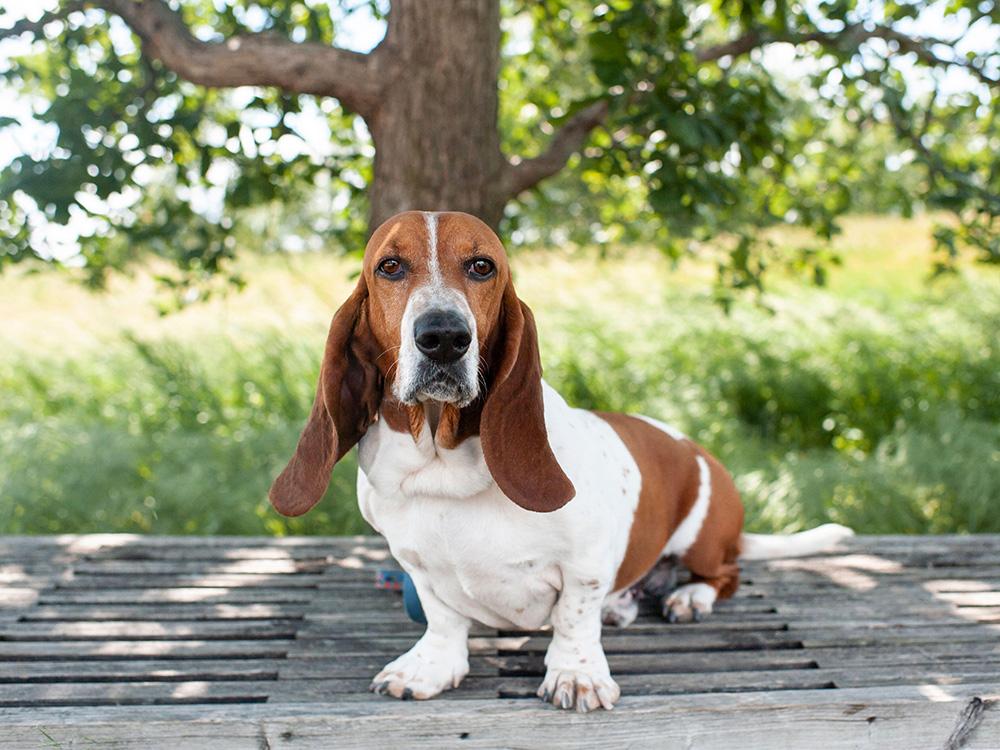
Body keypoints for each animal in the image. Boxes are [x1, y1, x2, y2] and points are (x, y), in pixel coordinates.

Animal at [270, 210, 856, 712]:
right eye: (389, 266)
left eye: (482, 266)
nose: (444, 337)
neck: (443, 461)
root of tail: (696, 450)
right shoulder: (417, 568)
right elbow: (443, 621)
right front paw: (429, 668)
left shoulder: (585, 564)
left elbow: (574, 618)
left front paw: (576, 675)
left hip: (704, 538)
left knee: (726, 574)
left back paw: (689, 596)